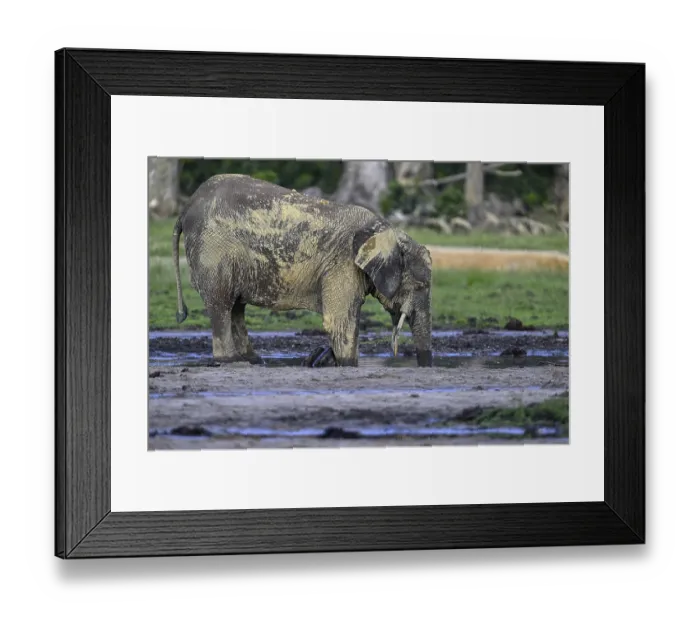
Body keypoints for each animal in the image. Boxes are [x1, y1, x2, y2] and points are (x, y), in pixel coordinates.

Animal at [172, 174, 433, 367]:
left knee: (236, 307)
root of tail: (186, 207)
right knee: (222, 305)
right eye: (420, 286)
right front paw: (346, 363)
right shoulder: (341, 264)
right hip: (214, 252)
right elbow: (340, 321)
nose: (424, 365)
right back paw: (230, 360)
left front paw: (323, 358)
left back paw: (254, 360)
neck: (383, 230)